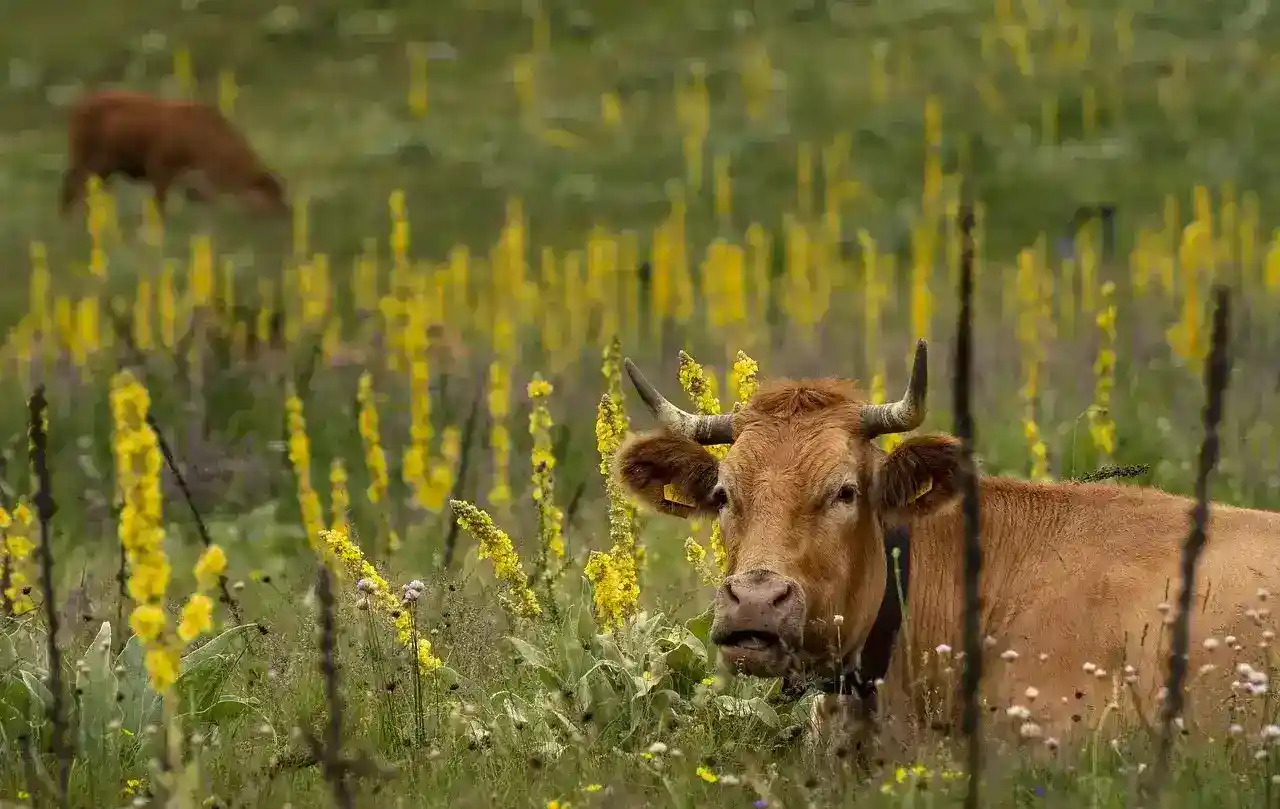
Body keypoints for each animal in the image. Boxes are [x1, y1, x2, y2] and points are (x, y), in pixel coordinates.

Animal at [60, 89, 290, 217]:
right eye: (272, 193)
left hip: (102, 168)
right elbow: (160, 202)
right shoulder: (160, 167)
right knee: (72, 185)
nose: (287, 212)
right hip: (89, 160)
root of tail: (79, 107)